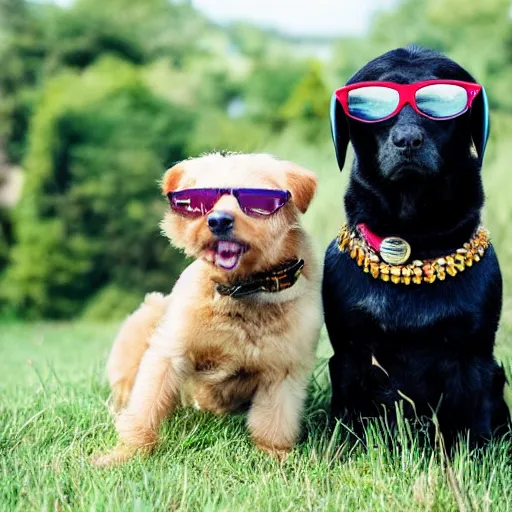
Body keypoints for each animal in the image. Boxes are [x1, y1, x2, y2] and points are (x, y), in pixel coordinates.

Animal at [94, 153, 322, 468]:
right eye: (203, 201)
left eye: (256, 201)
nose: (218, 221)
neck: (241, 290)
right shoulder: (169, 351)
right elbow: (145, 409)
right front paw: (127, 453)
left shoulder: (283, 373)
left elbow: (273, 425)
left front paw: (275, 457)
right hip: (143, 324)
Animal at [322, 45, 510, 444]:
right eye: (370, 104)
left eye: (441, 104)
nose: (408, 140)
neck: (414, 241)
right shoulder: (349, 353)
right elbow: (347, 419)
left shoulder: (474, 356)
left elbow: (472, 428)